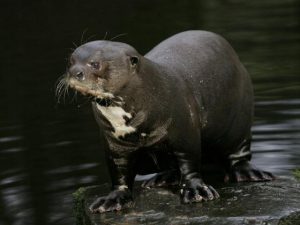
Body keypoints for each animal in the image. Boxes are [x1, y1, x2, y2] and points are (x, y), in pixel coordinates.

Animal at [57, 29, 276, 213]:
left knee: (239, 152)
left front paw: (196, 191)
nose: (75, 73)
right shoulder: (113, 143)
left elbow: (189, 163)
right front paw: (112, 199)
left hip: (240, 119)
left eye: (95, 63)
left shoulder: (185, 129)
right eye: (70, 61)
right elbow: (119, 172)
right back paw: (163, 179)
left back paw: (248, 173)